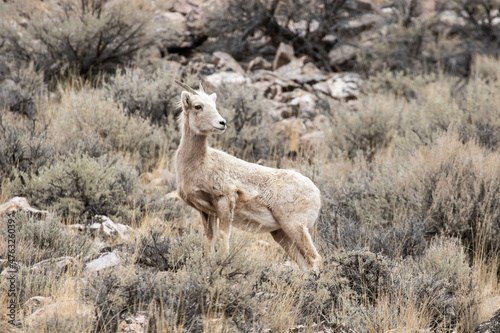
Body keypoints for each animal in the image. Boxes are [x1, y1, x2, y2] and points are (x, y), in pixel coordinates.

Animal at [174, 81, 322, 270]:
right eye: (198, 106)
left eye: (214, 105)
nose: (222, 123)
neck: (201, 163)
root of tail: (316, 193)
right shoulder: (206, 212)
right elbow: (210, 240)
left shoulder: (224, 202)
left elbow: (224, 236)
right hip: (282, 234)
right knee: (305, 265)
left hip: (295, 226)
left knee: (316, 259)